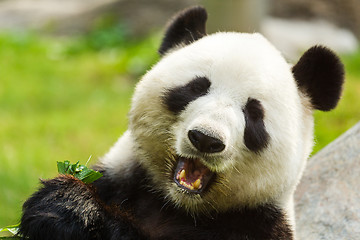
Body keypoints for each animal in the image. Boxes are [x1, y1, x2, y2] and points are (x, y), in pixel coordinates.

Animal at [19, 5, 344, 240]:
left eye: (253, 113)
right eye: (196, 88)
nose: (206, 139)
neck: (176, 205)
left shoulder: (256, 226)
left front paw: (73, 209)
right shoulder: (119, 178)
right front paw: (60, 202)